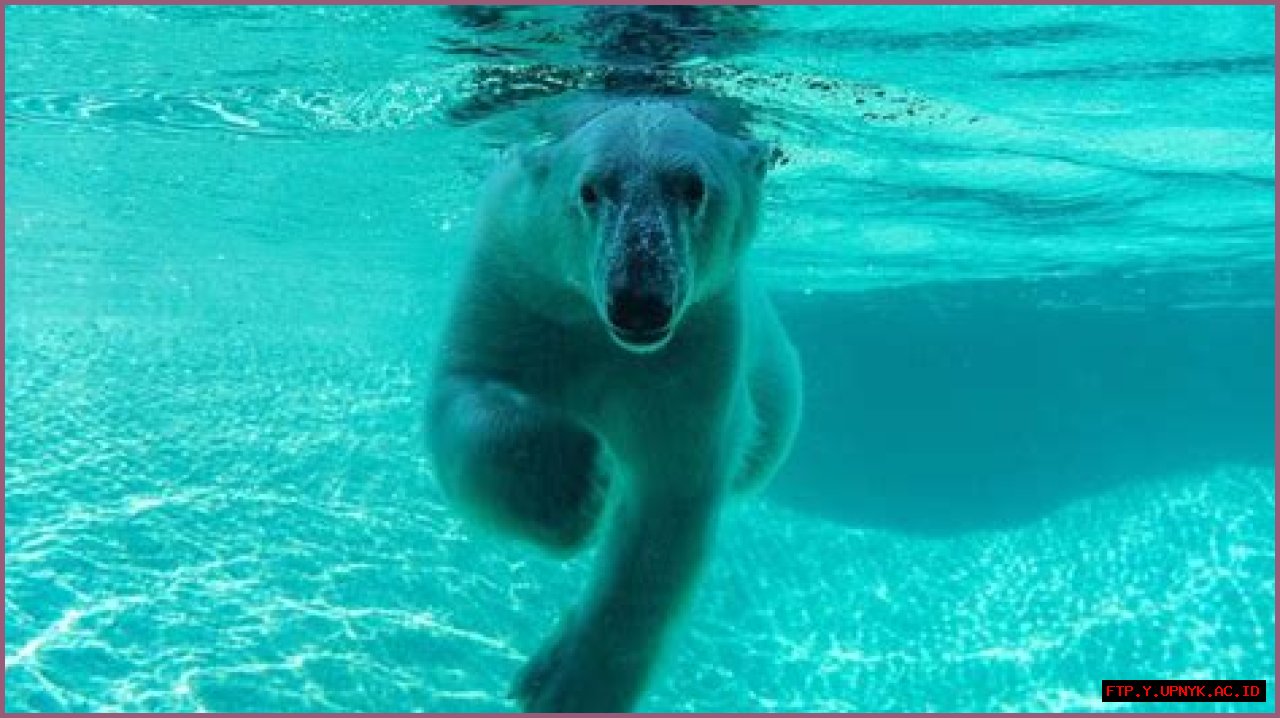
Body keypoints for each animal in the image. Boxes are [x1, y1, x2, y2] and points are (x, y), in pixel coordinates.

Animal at [426, 97, 802, 712]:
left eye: (693, 188)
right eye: (590, 189)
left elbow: (665, 512)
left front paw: (563, 689)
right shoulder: (515, 283)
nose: (639, 300)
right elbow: (466, 391)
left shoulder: (696, 348)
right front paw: (575, 487)